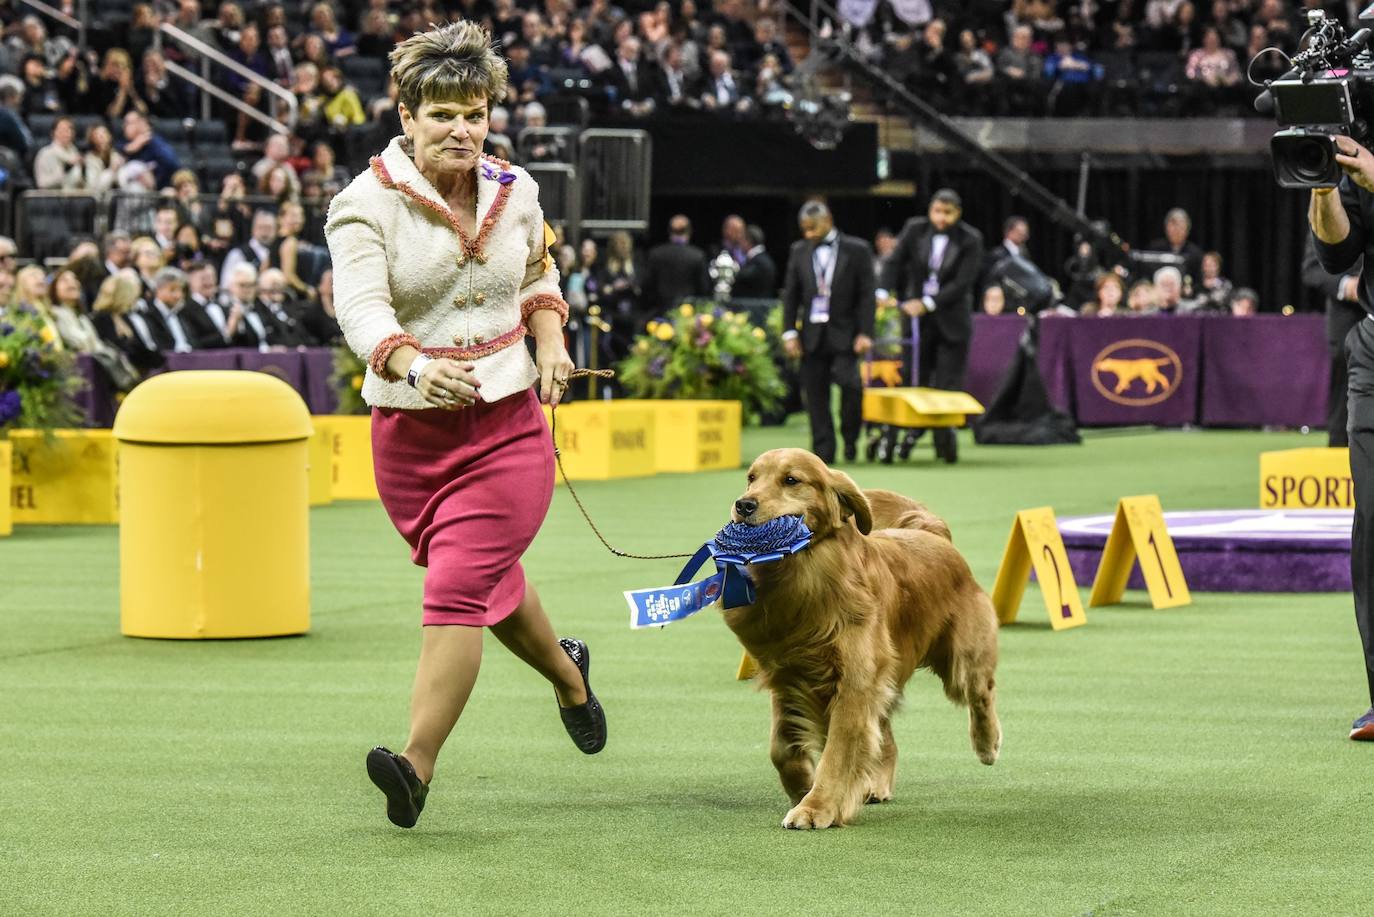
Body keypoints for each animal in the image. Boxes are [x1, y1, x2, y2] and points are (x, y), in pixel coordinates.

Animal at [725, 448, 1005, 830]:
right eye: (751, 478)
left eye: (791, 480)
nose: (744, 504)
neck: (805, 575)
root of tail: (933, 534)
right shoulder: (788, 674)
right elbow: (781, 748)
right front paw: (802, 786)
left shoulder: (854, 681)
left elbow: (838, 751)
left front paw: (816, 807)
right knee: (886, 735)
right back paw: (876, 783)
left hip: (962, 659)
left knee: (980, 693)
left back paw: (987, 744)